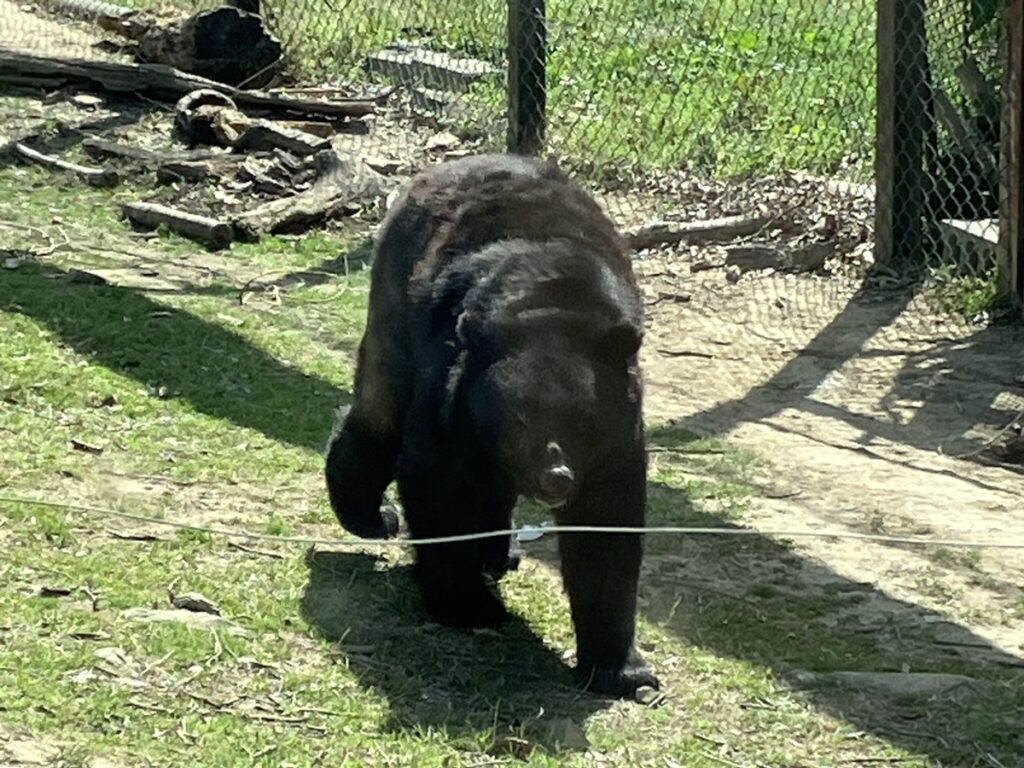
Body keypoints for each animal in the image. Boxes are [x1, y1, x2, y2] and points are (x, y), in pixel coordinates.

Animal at [327, 153, 663, 700]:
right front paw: (469, 605)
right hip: (396, 301)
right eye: (521, 418)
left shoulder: (617, 438)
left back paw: (498, 551)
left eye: (583, 420)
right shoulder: (452, 389)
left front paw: (622, 671)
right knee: (382, 409)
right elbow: (439, 483)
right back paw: (370, 514)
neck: (552, 304)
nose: (556, 478)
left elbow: (606, 531)